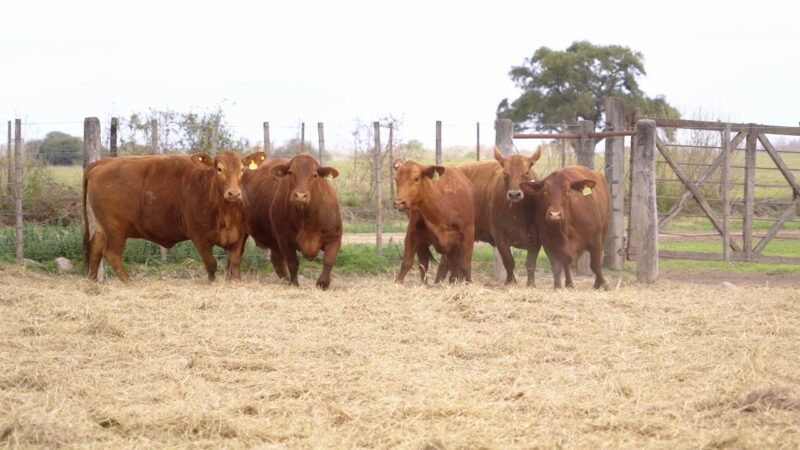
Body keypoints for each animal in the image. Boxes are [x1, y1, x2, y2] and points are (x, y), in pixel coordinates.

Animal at [83, 150, 266, 282]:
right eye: (219, 169)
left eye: (242, 169)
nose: (234, 193)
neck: (225, 215)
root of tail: (104, 161)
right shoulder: (199, 238)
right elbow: (211, 265)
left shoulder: (240, 236)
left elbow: (234, 264)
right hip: (116, 229)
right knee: (112, 253)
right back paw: (128, 282)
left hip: (103, 226)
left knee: (96, 248)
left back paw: (93, 281)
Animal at [241, 153, 342, 289]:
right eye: (290, 172)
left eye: (314, 174)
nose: (300, 196)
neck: (307, 219)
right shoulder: (284, 238)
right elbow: (292, 262)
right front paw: (294, 283)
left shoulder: (335, 236)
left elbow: (328, 260)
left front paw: (323, 283)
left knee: (277, 260)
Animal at [456, 146, 542, 285]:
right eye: (505, 173)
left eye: (527, 172)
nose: (514, 194)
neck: (519, 214)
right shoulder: (500, 236)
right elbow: (509, 261)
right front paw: (510, 282)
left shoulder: (536, 240)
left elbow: (530, 264)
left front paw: (531, 284)